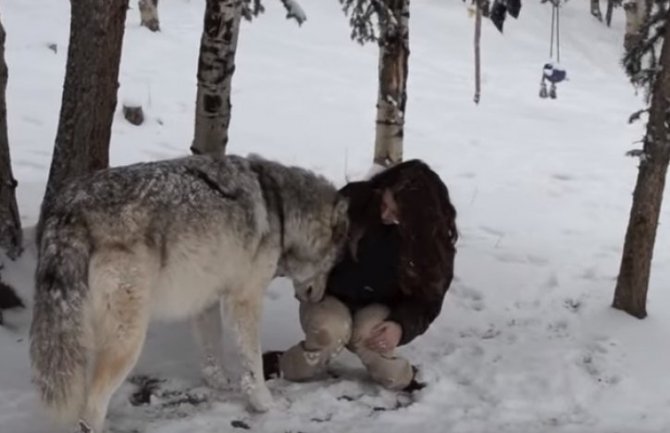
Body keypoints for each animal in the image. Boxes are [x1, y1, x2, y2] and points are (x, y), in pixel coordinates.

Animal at [28, 153, 350, 432]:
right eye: (334, 266)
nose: (318, 297)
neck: (281, 211)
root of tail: (71, 207)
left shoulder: (205, 300)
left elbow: (211, 354)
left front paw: (220, 385)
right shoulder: (244, 300)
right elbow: (253, 363)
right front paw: (263, 404)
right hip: (127, 340)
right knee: (92, 406)